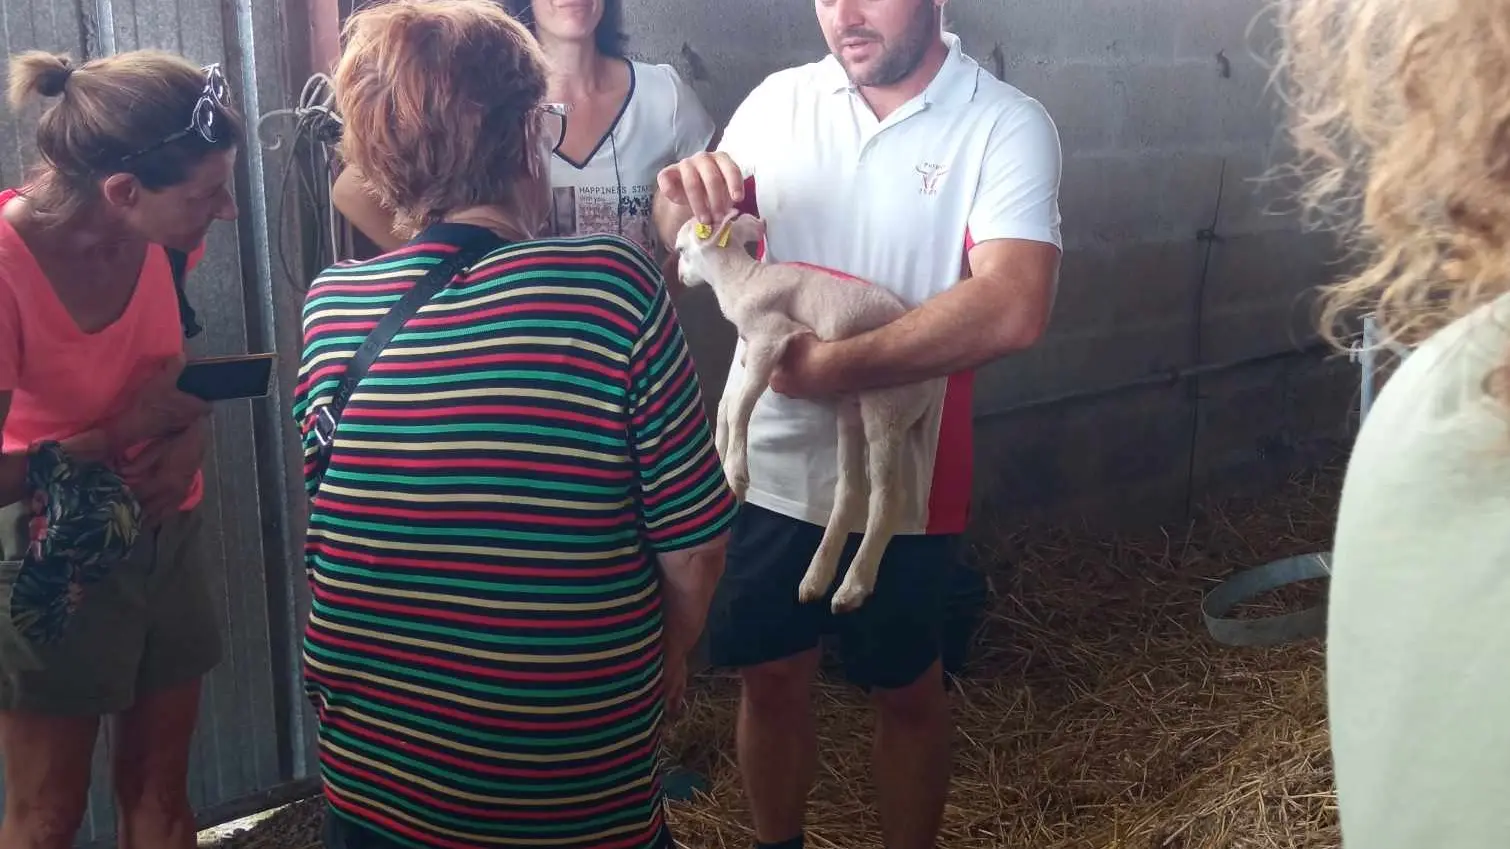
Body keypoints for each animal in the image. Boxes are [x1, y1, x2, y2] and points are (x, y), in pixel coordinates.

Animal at [676, 209, 942, 607]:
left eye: (680, 249)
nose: (679, 276)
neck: (742, 280)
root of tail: (933, 383)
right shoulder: (754, 350)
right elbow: (726, 408)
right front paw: (723, 464)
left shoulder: (770, 339)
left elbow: (739, 409)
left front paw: (737, 477)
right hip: (851, 410)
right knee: (850, 491)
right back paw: (816, 579)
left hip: (887, 408)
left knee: (888, 498)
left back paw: (852, 587)